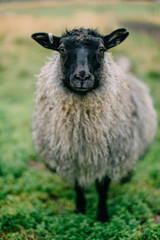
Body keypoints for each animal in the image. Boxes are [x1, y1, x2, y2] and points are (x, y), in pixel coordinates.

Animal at [30, 27, 157, 221]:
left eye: (102, 49)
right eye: (61, 50)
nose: (82, 76)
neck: (83, 128)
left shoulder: (109, 157)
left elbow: (102, 188)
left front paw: (102, 216)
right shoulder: (73, 157)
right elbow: (78, 186)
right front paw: (80, 210)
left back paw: (126, 178)